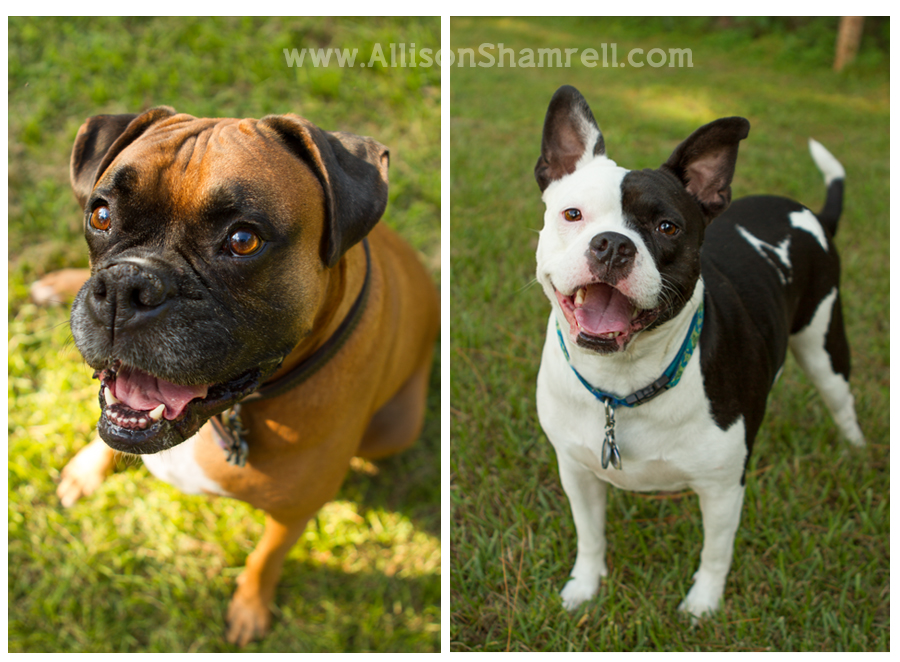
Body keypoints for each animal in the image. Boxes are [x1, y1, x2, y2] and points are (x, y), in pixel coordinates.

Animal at [44, 109, 440, 648]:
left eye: (243, 240)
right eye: (101, 215)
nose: (128, 286)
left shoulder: (292, 515)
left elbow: (265, 557)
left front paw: (250, 607)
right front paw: (87, 468)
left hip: (396, 430)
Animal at [536, 85, 864, 620]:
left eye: (667, 227)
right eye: (573, 215)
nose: (612, 245)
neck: (623, 383)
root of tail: (809, 213)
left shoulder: (722, 488)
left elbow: (715, 551)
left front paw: (702, 607)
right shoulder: (577, 472)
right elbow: (590, 536)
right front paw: (583, 589)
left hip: (824, 346)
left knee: (841, 402)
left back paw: (856, 451)